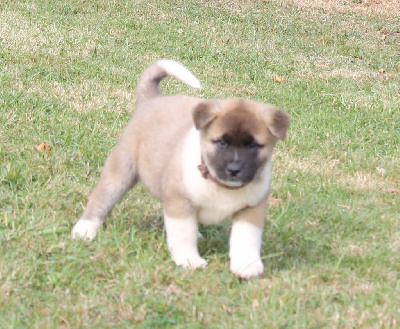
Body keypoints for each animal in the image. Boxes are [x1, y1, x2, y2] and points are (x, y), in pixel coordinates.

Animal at [72, 60, 290, 278]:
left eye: (253, 145)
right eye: (221, 142)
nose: (234, 170)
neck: (219, 184)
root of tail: (152, 100)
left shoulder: (251, 209)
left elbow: (246, 240)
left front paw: (246, 265)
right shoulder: (180, 203)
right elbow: (183, 235)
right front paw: (189, 260)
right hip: (120, 172)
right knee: (101, 199)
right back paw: (84, 231)